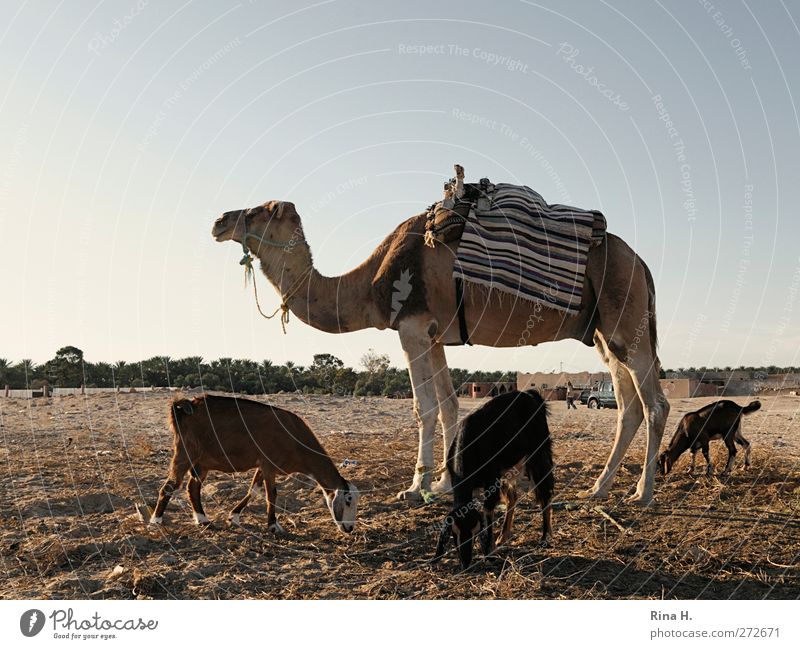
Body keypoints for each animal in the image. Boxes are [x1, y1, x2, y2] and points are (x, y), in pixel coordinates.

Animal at [149, 392, 360, 536]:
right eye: (348, 500)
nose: (349, 528)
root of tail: (185, 407)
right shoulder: (268, 465)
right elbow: (271, 494)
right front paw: (273, 525)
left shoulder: (264, 466)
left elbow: (254, 490)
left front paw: (233, 516)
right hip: (185, 453)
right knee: (169, 486)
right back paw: (155, 521)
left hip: (201, 463)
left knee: (192, 488)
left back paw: (202, 519)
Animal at [211, 197, 668, 506]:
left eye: (258, 211)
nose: (218, 220)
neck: (371, 281)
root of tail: (642, 263)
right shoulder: (434, 335)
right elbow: (449, 405)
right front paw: (447, 483)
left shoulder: (411, 327)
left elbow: (424, 407)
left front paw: (415, 488)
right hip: (604, 333)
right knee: (627, 404)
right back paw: (599, 487)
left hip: (626, 319)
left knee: (655, 405)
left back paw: (642, 494)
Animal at [434, 390, 552, 568]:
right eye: (455, 534)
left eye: (475, 531)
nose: (466, 562)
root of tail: (531, 395)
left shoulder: (491, 479)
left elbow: (488, 509)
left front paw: (489, 551)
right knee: (512, 497)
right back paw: (503, 537)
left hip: (538, 454)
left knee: (545, 493)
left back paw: (545, 537)